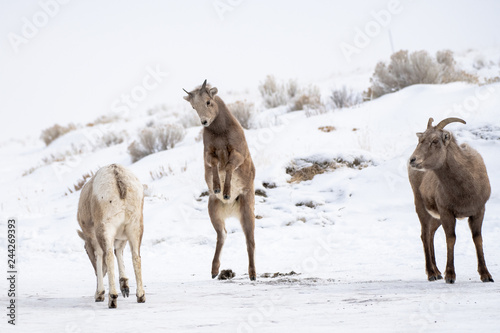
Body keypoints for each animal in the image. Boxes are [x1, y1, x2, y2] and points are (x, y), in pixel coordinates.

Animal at [76, 163, 146, 306]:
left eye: (86, 250)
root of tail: (117, 176)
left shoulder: (94, 238)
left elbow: (100, 256)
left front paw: (99, 294)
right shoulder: (122, 237)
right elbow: (119, 251)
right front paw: (124, 286)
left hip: (105, 229)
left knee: (108, 256)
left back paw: (112, 299)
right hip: (135, 228)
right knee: (136, 257)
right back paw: (140, 296)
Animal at [183, 79, 258, 278]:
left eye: (208, 102)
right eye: (194, 106)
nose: (204, 121)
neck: (221, 132)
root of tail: (231, 210)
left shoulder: (238, 154)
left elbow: (229, 166)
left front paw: (226, 192)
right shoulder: (209, 155)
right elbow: (217, 165)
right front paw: (218, 189)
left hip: (247, 212)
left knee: (250, 241)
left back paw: (252, 275)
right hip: (214, 212)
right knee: (222, 235)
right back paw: (214, 270)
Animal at [410, 116, 492, 282]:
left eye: (435, 141)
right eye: (420, 140)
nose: (413, 160)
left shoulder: (478, 211)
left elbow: (477, 238)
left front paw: (486, 275)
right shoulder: (447, 213)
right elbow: (451, 239)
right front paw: (450, 276)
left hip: (436, 218)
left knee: (430, 234)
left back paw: (437, 272)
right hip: (422, 208)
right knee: (424, 235)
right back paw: (432, 274)